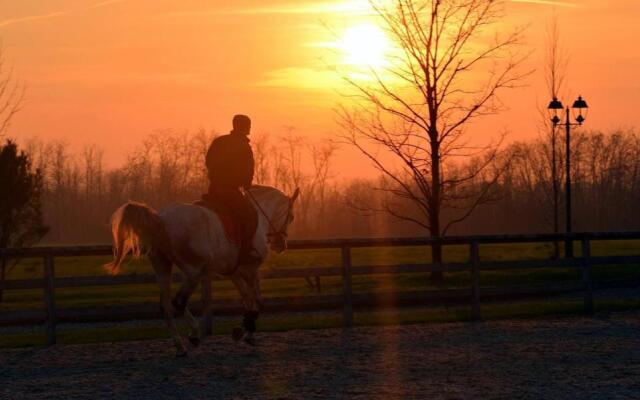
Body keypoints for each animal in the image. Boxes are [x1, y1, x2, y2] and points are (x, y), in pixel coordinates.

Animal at [104, 184, 298, 356]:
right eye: (291, 217)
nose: (281, 245)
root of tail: (162, 220)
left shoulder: (234, 272)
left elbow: (247, 298)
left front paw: (240, 330)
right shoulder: (250, 270)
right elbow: (258, 301)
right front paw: (248, 333)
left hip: (162, 267)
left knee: (166, 306)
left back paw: (180, 347)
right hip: (193, 271)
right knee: (178, 302)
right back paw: (194, 335)